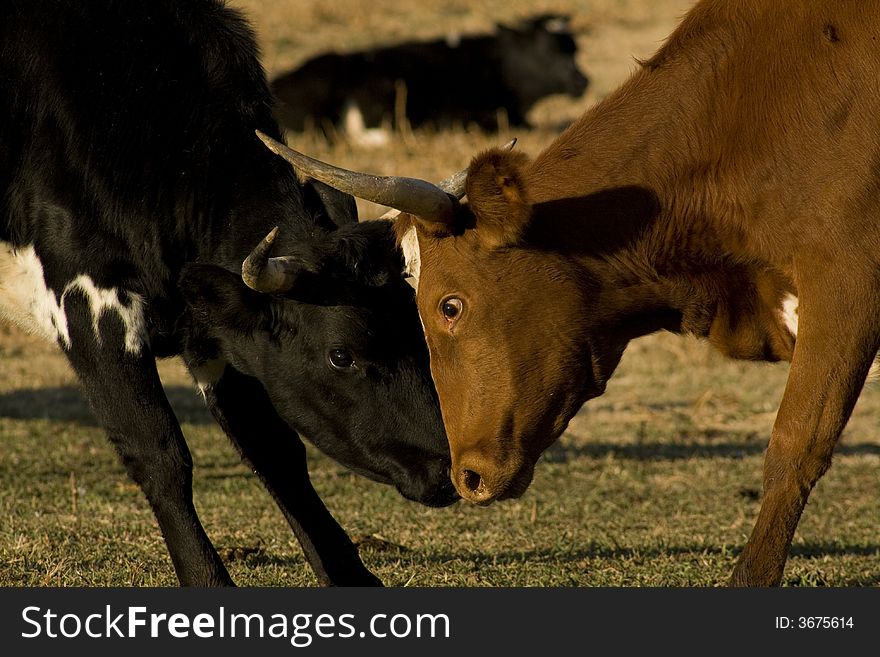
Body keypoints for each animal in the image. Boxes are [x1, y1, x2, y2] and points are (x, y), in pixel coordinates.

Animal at [0, 0, 454, 584]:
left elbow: (276, 451)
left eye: (419, 331)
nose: (450, 469)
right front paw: (207, 577)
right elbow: (160, 453)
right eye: (341, 355)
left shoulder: (218, 333)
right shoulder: (90, 304)